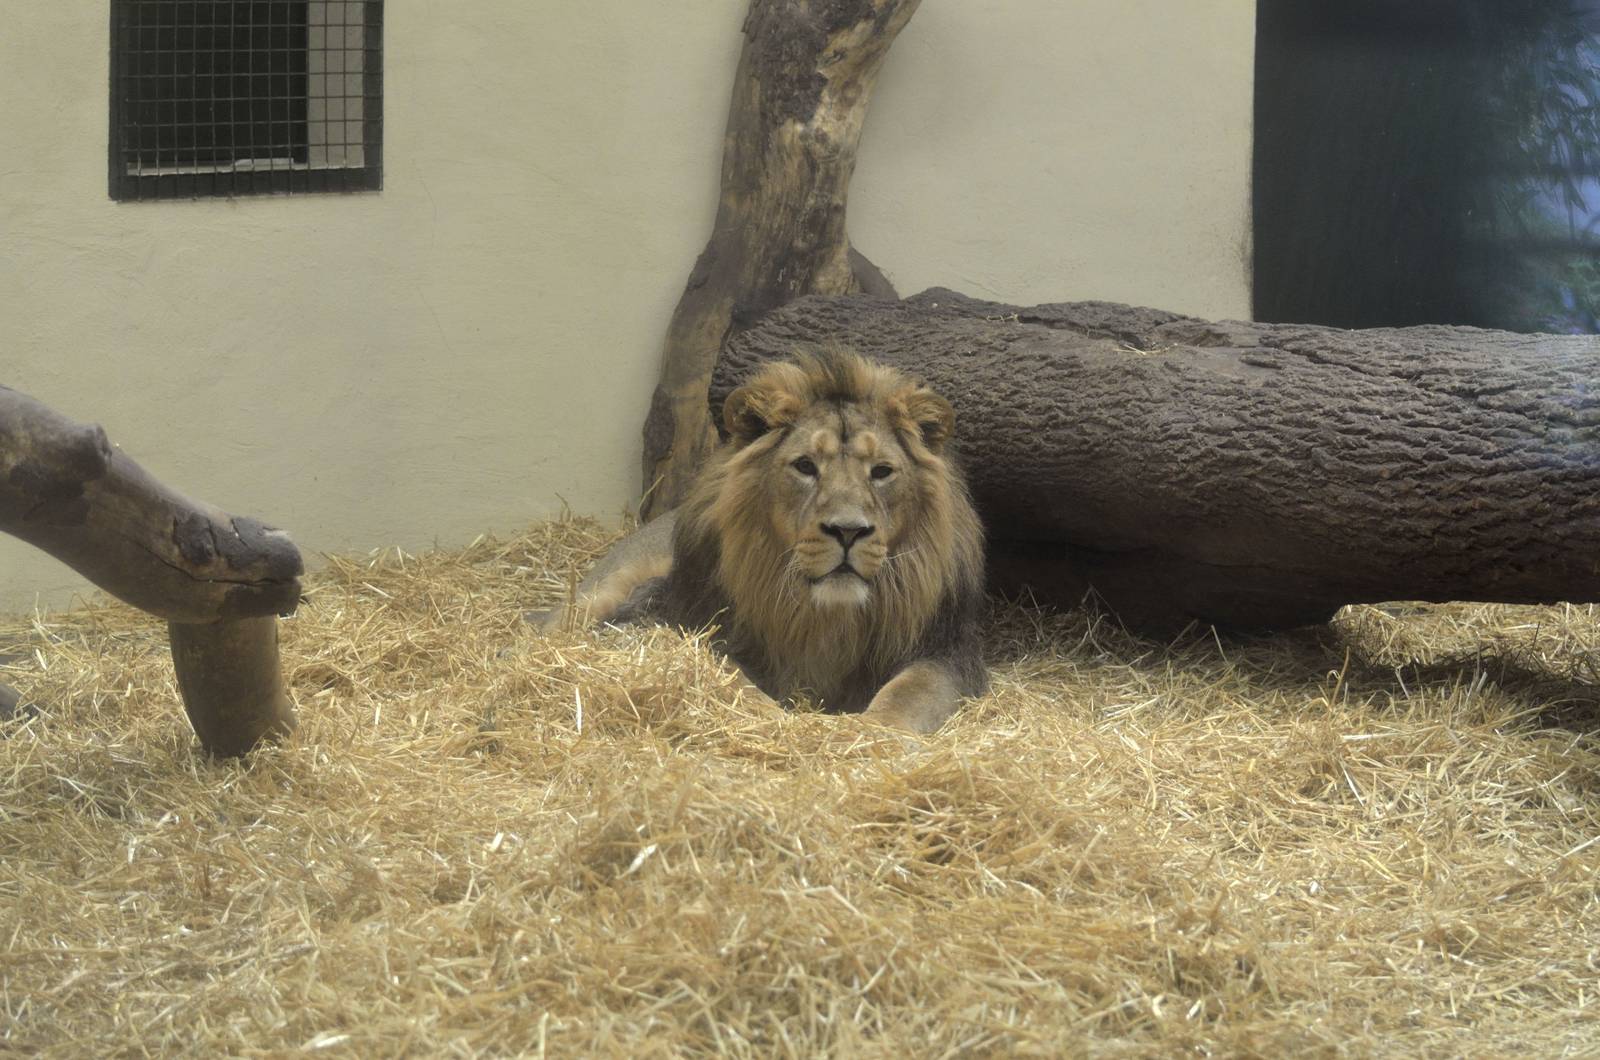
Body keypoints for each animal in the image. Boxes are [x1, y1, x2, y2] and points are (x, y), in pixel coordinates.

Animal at [540, 349, 987, 733]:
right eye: (805, 466)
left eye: (881, 472)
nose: (848, 531)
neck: (826, 617)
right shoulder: (689, 623)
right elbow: (725, 675)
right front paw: (768, 717)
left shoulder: (949, 653)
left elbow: (913, 689)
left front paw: (877, 731)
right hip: (605, 589)